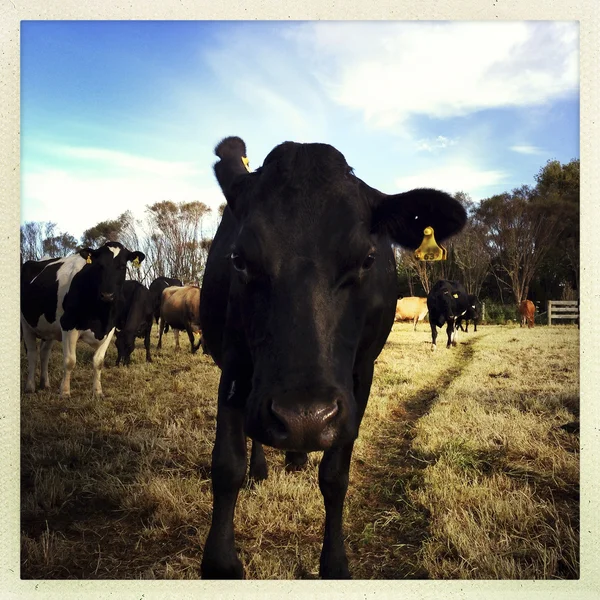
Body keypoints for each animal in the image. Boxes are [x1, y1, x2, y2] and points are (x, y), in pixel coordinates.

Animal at [22, 241, 147, 396]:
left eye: (122, 266)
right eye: (99, 265)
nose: (107, 295)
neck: (101, 316)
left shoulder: (110, 329)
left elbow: (98, 361)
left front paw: (97, 391)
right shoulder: (68, 325)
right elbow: (70, 361)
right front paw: (65, 392)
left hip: (49, 327)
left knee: (44, 353)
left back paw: (45, 384)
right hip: (25, 324)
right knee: (32, 353)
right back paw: (30, 386)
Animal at [199, 137, 466, 580]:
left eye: (367, 259)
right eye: (239, 259)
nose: (303, 418)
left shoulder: (361, 376)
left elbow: (336, 475)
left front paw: (335, 563)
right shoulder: (235, 367)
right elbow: (227, 465)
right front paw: (221, 563)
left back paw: (296, 456)